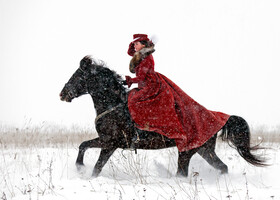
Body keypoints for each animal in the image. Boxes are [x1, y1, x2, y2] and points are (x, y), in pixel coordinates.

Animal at [59, 55, 266, 177]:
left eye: (77, 76)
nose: (62, 94)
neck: (114, 106)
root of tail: (217, 117)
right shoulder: (106, 141)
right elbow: (84, 146)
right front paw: (79, 167)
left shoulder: (111, 143)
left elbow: (96, 165)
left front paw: (82, 170)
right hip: (204, 150)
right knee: (222, 167)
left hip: (187, 152)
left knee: (184, 173)